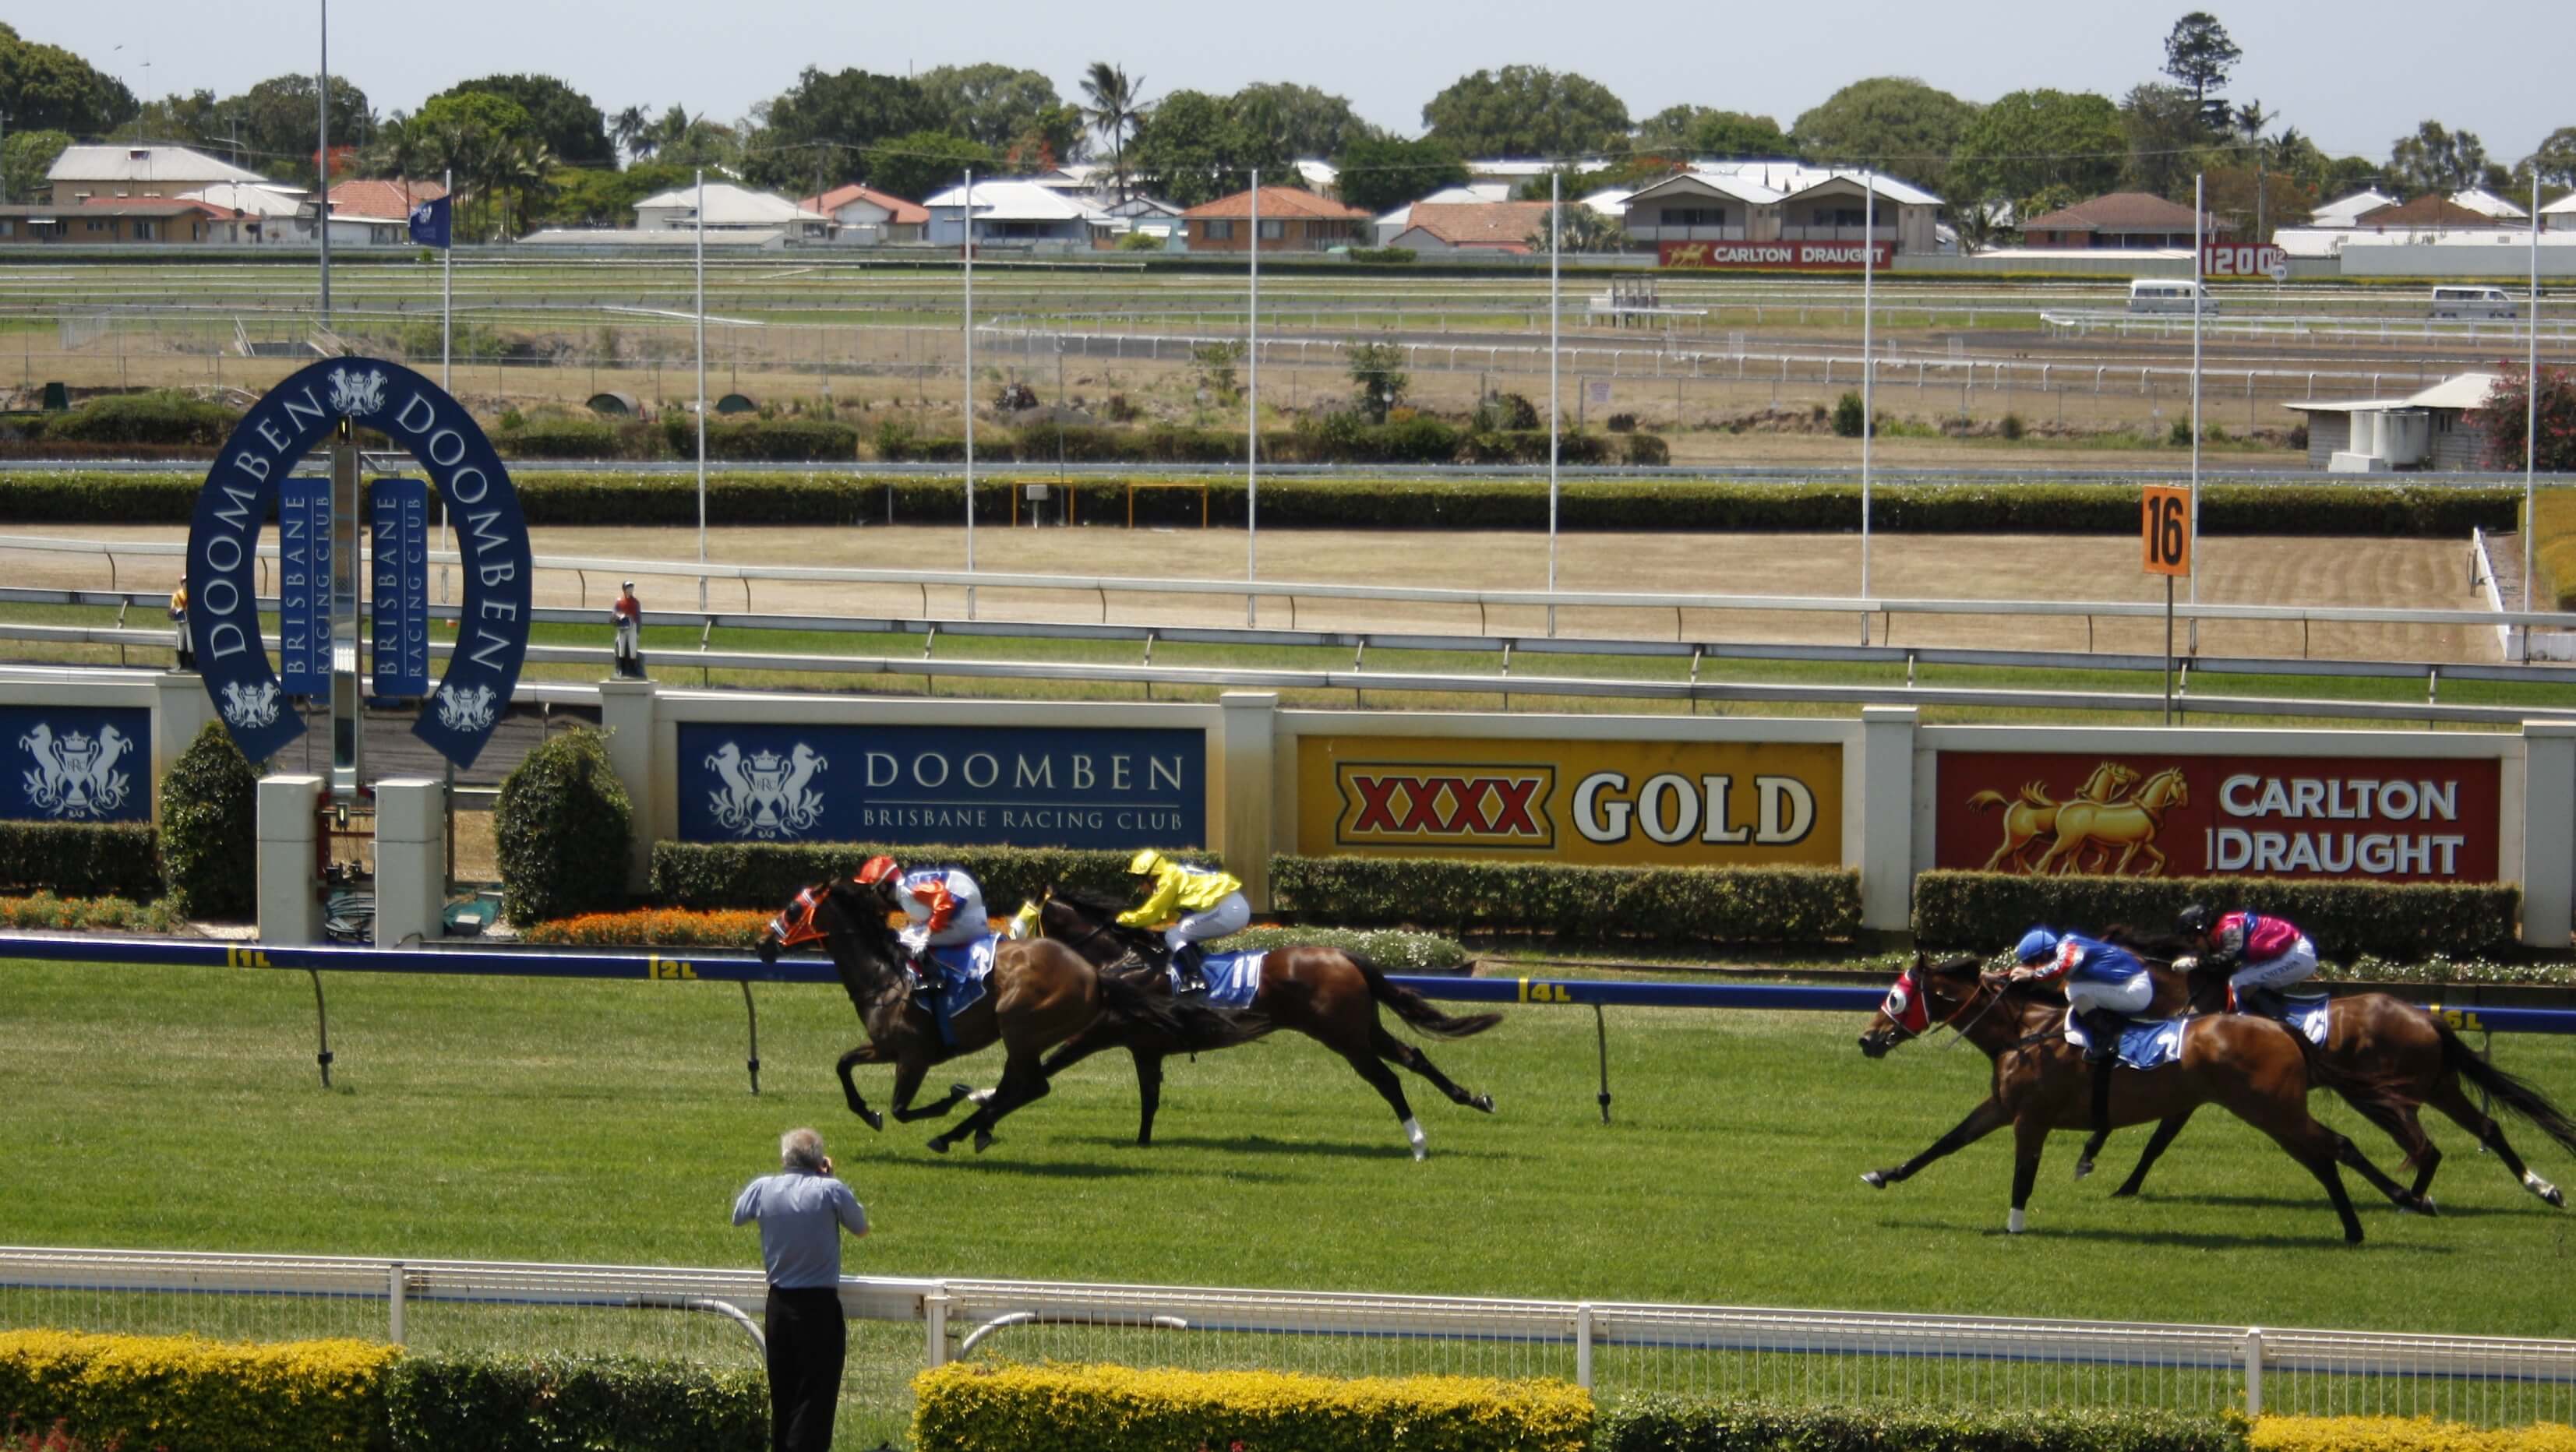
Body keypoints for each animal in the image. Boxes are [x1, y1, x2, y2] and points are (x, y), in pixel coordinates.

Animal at [762, 875, 1205, 1158]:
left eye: (793, 909)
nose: (763, 944)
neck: (886, 975)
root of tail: (1095, 974)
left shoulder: (914, 1055)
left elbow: (901, 1109)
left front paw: (950, 1097)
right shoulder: (885, 1047)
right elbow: (843, 1064)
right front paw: (868, 1112)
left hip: (1021, 1025)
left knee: (1031, 1086)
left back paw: (956, 1131)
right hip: (1029, 1037)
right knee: (1022, 1087)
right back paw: (971, 1130)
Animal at [1030, 885, 1504, 1158]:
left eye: (1029, 919)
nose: (1021, 953)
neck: (1124, 961)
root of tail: (1343, 954)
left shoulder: (1099, 1031)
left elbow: (1049, 1063)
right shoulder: (1145, 1047)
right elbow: (1150, 1099)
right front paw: (1143, 1143)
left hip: (1343, 1037)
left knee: (1388, 1079)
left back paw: (1418, 1144)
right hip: (1363, 1028)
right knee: (1414, 1055)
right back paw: (1475, 1099)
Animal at [1854, 947, 2431, 1240]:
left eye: (1896, 998)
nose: (1867, 1039)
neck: (2024, 1032)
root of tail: (2278, 1028)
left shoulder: (2030, 1118)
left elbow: (2023, 1174)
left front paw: (2016, 1225)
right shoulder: (2001, 1107)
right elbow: (1945, 1143)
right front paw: (1883, 1174)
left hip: (2271, 1109)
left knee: (2335, 1148)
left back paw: (2397, 1206)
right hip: (2272, 1112)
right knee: (2325, 1155)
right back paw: (2365, 1221)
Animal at [2071, 947, 2576, 1210]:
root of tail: (2427, 1018)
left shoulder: (2194, 1088)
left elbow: (2153, 1140)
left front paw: (2116, 1178)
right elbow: (2145, 1136)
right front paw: (2102, 1167)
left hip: (2399, 1095)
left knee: (2427, 1147)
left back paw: (2409, 1199)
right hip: (2437, 1086)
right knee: (2486, 1128)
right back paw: (2543, 1187)